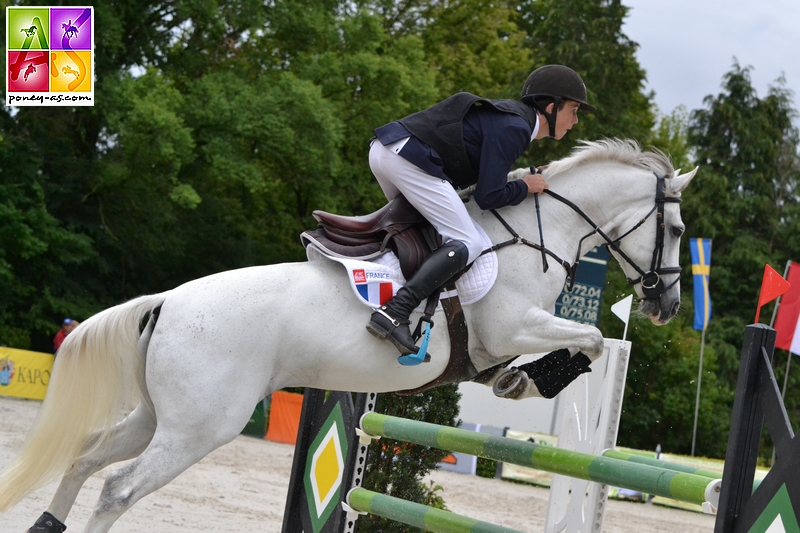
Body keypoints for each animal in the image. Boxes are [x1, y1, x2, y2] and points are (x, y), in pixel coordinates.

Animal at [0, 139, 692, 528]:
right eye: (680, 231)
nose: (666, 303)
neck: (533, 230)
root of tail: (168, 301)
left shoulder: (503, 340)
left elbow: (571, 344)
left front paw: (515, 384)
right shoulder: (511, 326)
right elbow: (591, 339)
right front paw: (538, 380)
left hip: (156, 416)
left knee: (87, 457)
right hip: (199, 428)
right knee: (118, 488)